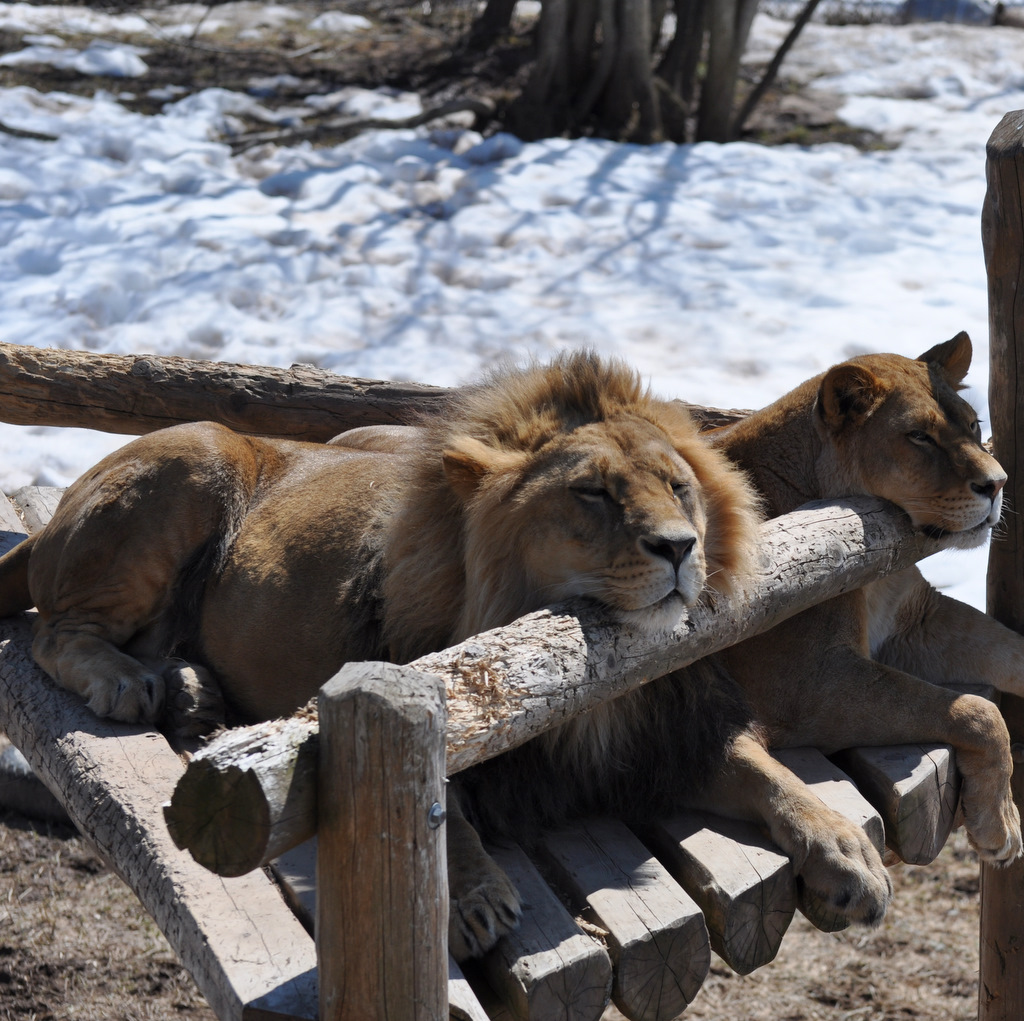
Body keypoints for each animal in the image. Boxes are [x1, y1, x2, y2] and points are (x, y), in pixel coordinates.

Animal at [0, 348, 770, 954]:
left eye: (679, 487)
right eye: (593, 492)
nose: (679, 547)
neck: (602, 689)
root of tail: (52, 515)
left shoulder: (662, 741)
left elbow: (768, 778)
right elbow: (435, 798)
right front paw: (471, 897)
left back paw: (191, 692)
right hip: (195, 454)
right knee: (55, 632)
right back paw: (127, 683)